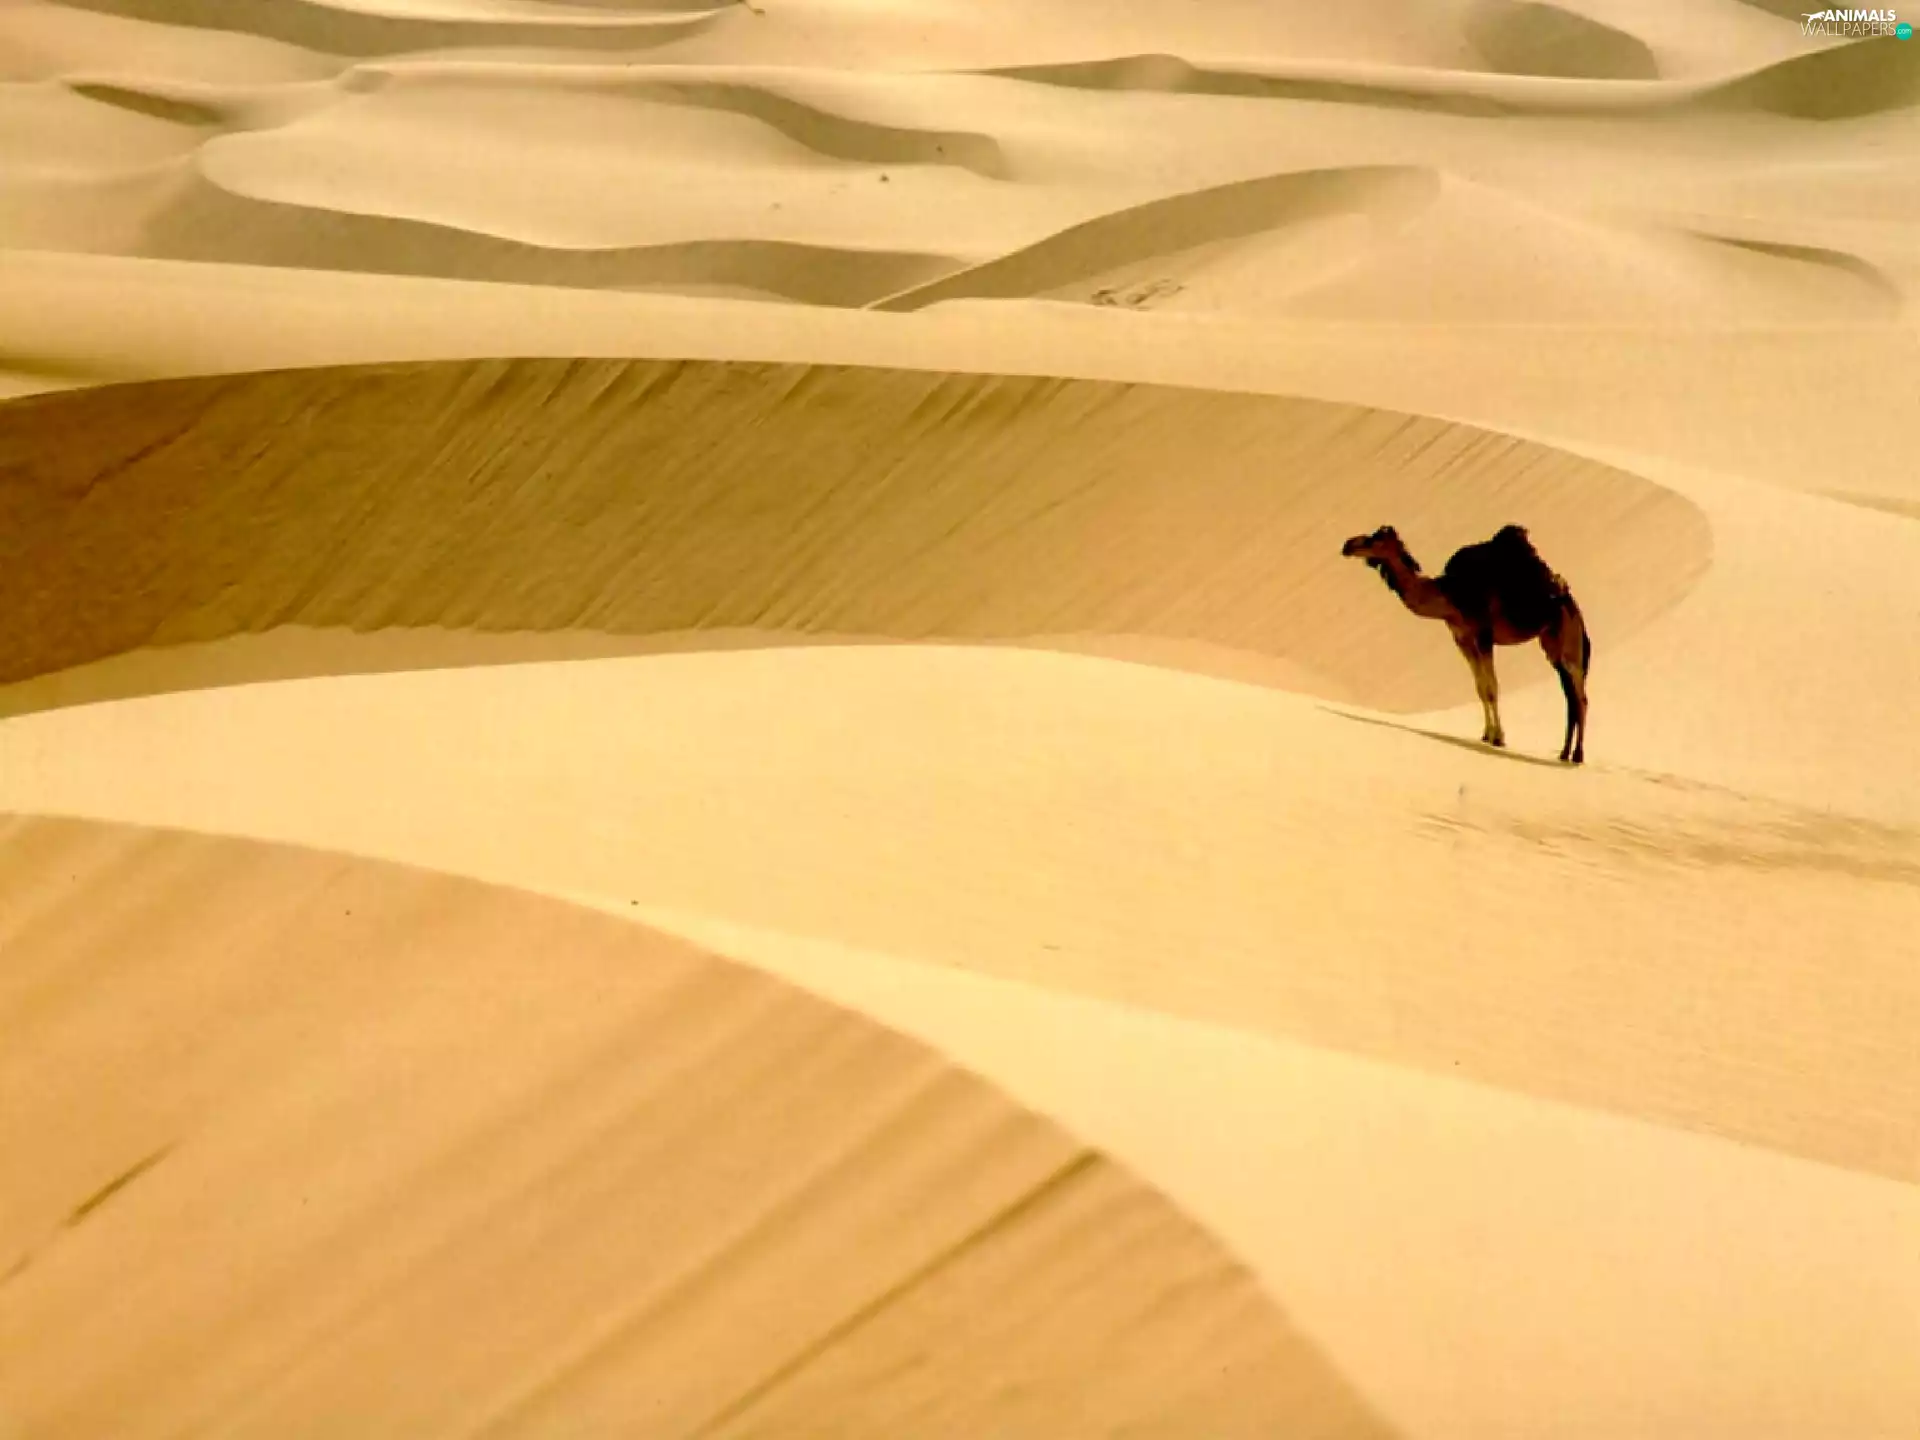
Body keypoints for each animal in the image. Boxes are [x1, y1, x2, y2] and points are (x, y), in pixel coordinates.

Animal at [1340, 523, 1591, 764]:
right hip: (1552, 647)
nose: (1347, 545)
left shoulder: (1483, 635)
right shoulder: (1462, 639)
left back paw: (1578, 755)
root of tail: (1575, 608)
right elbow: (1480, 689)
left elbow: (1492, 688)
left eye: (1375, 539)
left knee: (1581, 698)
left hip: (1569, 644)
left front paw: (1499, 738)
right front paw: (1486, 734)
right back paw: (1564, 753)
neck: (1449, 596)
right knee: (1570, 698)